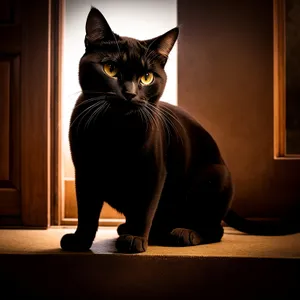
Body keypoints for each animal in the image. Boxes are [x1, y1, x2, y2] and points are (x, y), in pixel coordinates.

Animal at [60, 6, 298, 253]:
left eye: (147, 77)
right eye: (110, 69)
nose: (130, 93)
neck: (115, 131)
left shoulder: (154, 171)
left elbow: (144, 209)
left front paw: (135, 239)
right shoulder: (85, 172)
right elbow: (87, 212)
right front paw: (79, 241)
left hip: (214, 176)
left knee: (214, 229)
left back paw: (183, 234)